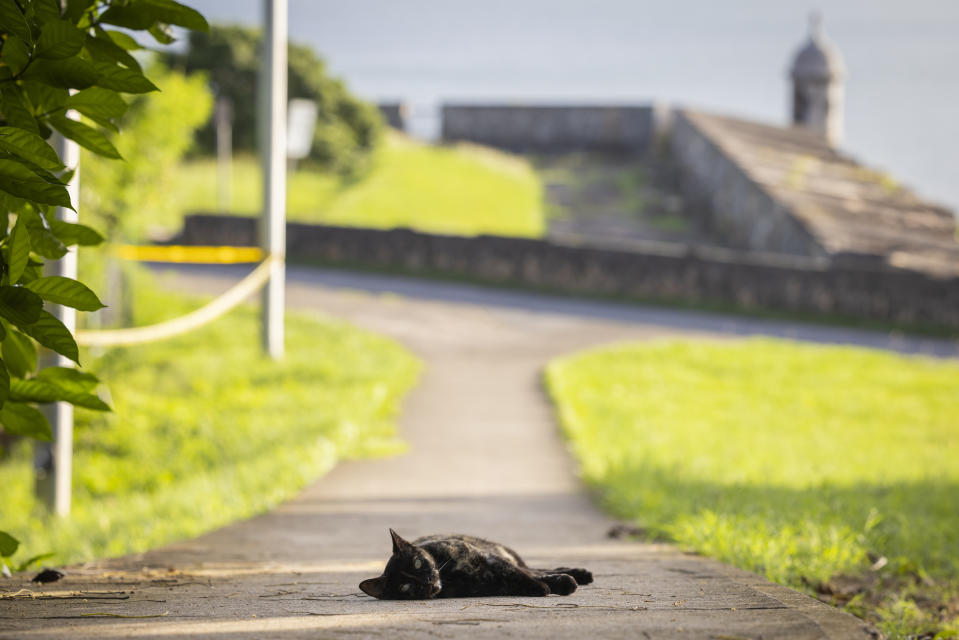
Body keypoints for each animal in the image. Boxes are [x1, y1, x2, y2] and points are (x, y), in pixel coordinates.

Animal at [358, 528, 592, 596]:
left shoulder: (489, 559)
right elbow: (514, 582)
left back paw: (579, 574)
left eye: (417, 563)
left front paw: (549, 585)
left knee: (534, 569)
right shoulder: (489, 585)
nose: (427, 581)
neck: (449, 575)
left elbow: (516, 573)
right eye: (406, 587)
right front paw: (541, 588)